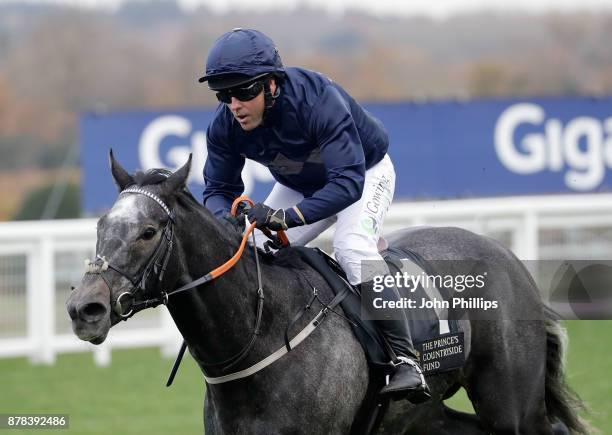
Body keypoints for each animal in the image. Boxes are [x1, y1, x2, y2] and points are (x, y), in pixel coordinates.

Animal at [65, 155, 588, 434]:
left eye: (148, 232)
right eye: (101, 225)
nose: (83, 309)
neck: (260, 334)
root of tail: (510, 258)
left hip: (512, 406)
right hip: (426, 414)